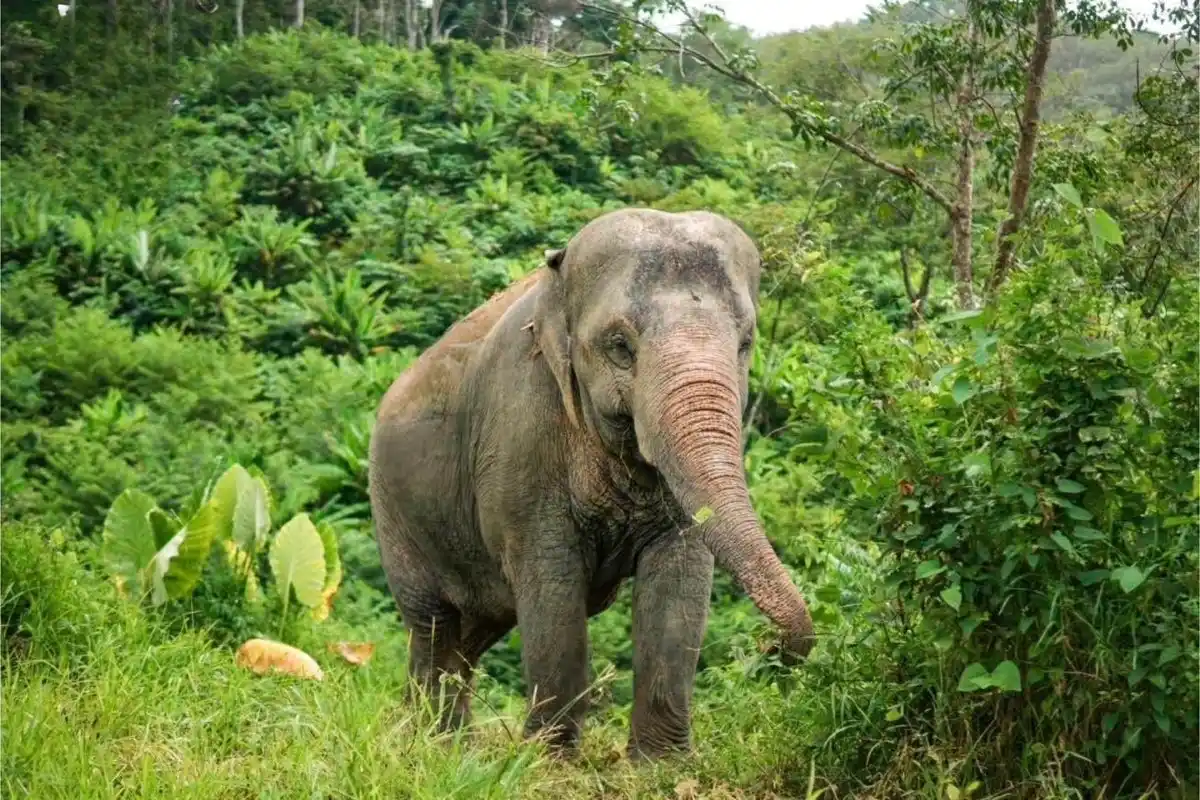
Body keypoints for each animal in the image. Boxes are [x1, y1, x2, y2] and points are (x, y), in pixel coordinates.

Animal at [368, 207, 815, 761]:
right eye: (620, 346)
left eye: (745, 343)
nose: (770, 647)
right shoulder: (522, 437)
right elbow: (552, 587)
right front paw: (547, 761)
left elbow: (680, 583)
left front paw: (660, 764)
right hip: (393, 510)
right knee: (434, 624)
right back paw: (438, 746)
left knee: (473, 630)